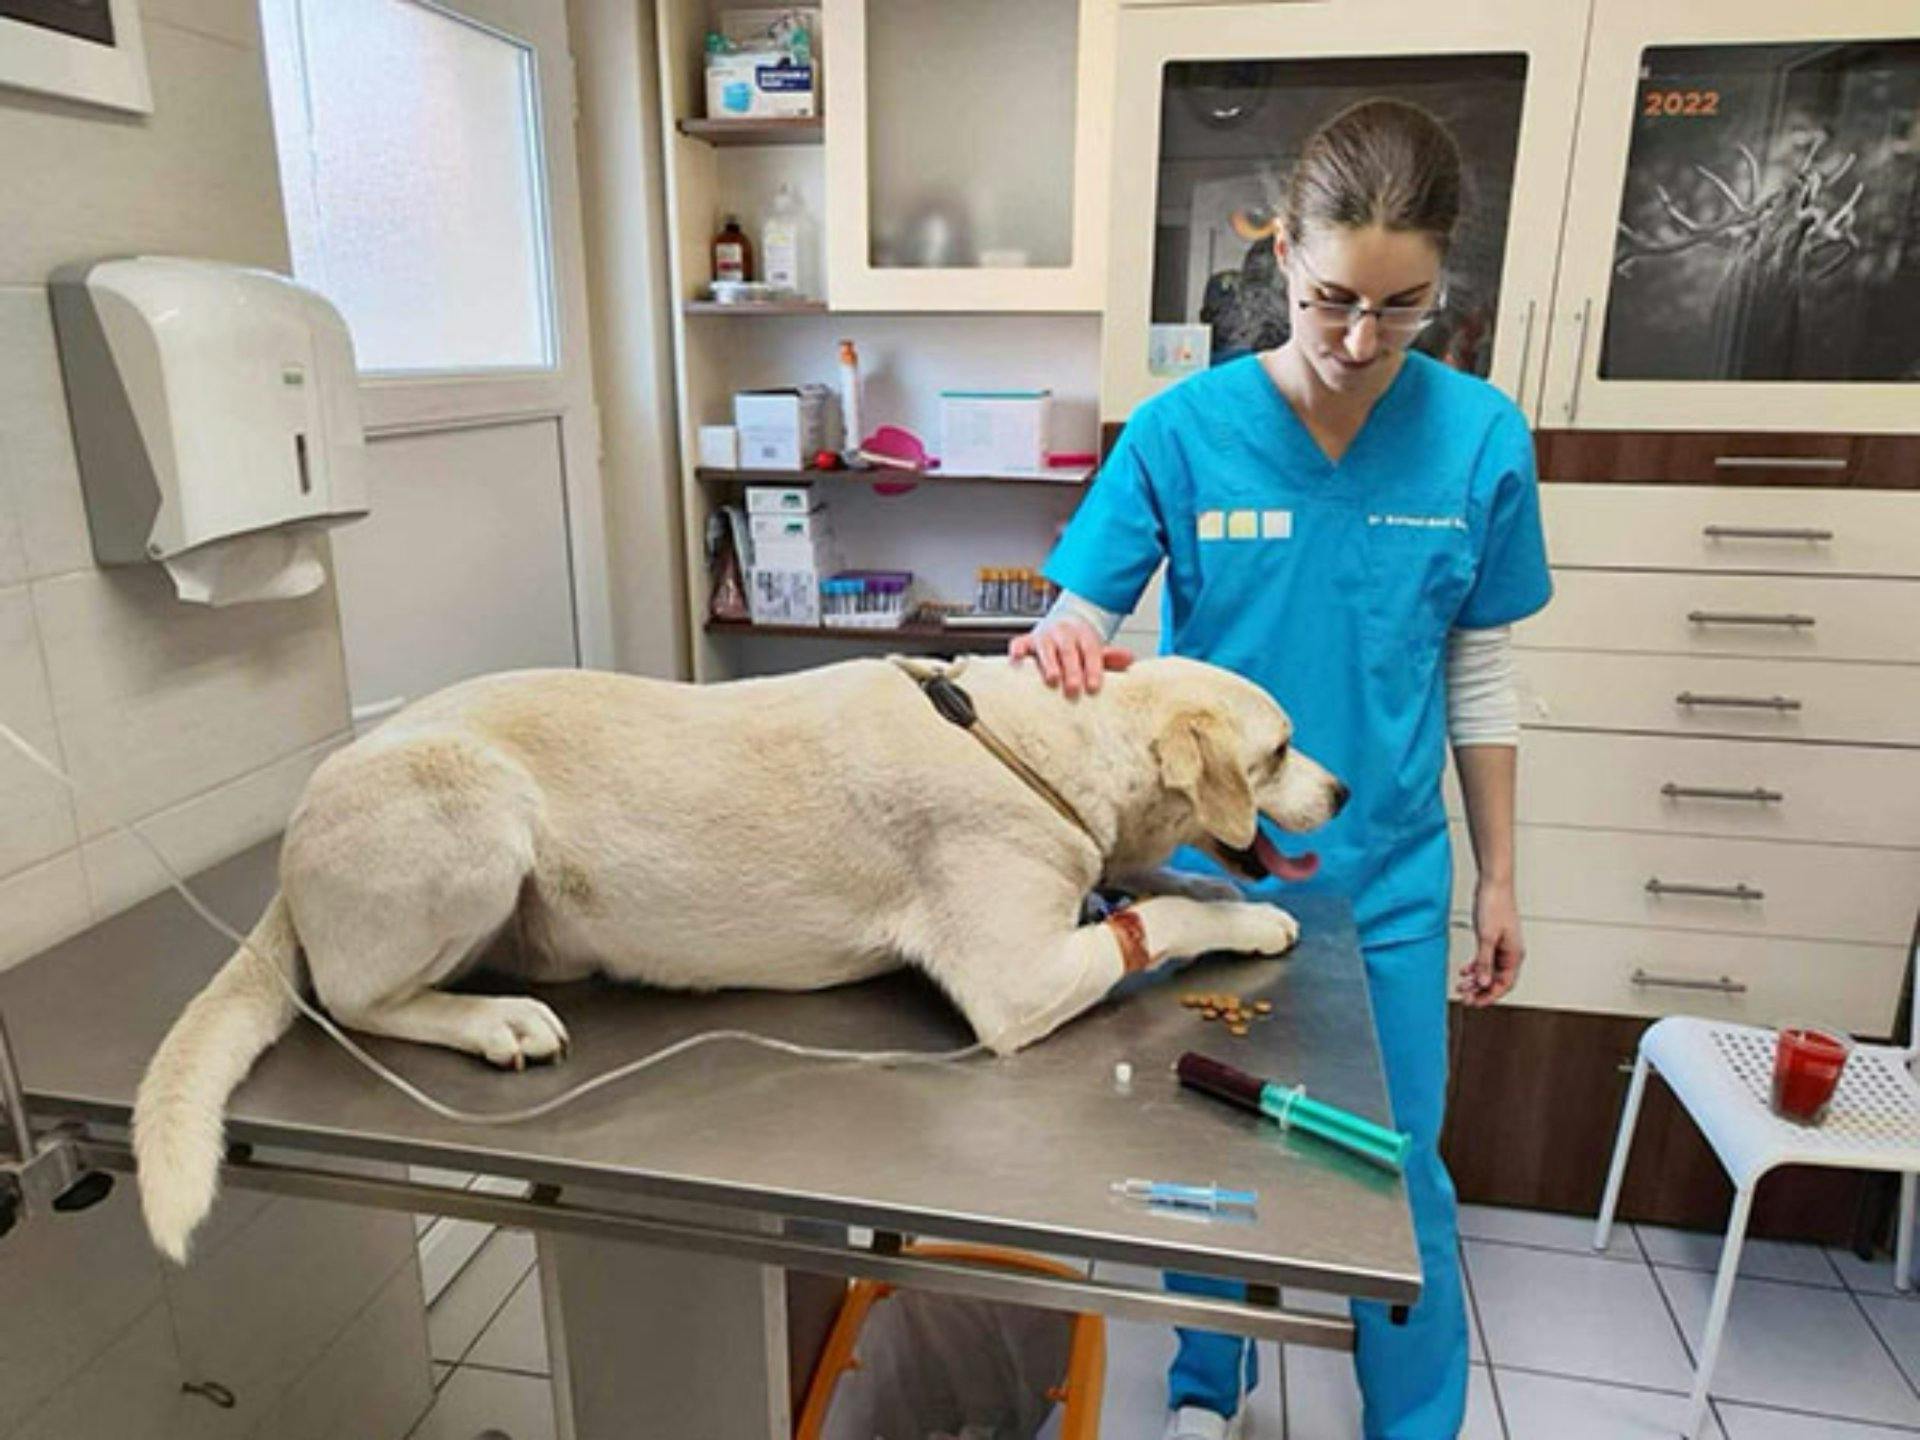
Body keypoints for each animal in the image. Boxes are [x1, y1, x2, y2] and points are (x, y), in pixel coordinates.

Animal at [132, 654, 1346, 1261]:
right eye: (1283, 749)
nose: (1339, 791)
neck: (1029, 738)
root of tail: (294, 837)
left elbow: (1162, 887)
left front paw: (1218, 890)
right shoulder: (1018, 982)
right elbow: (1161, 926)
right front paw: (1242, 924)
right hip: (474, 807)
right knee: (352, 997)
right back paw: (491, 1021)